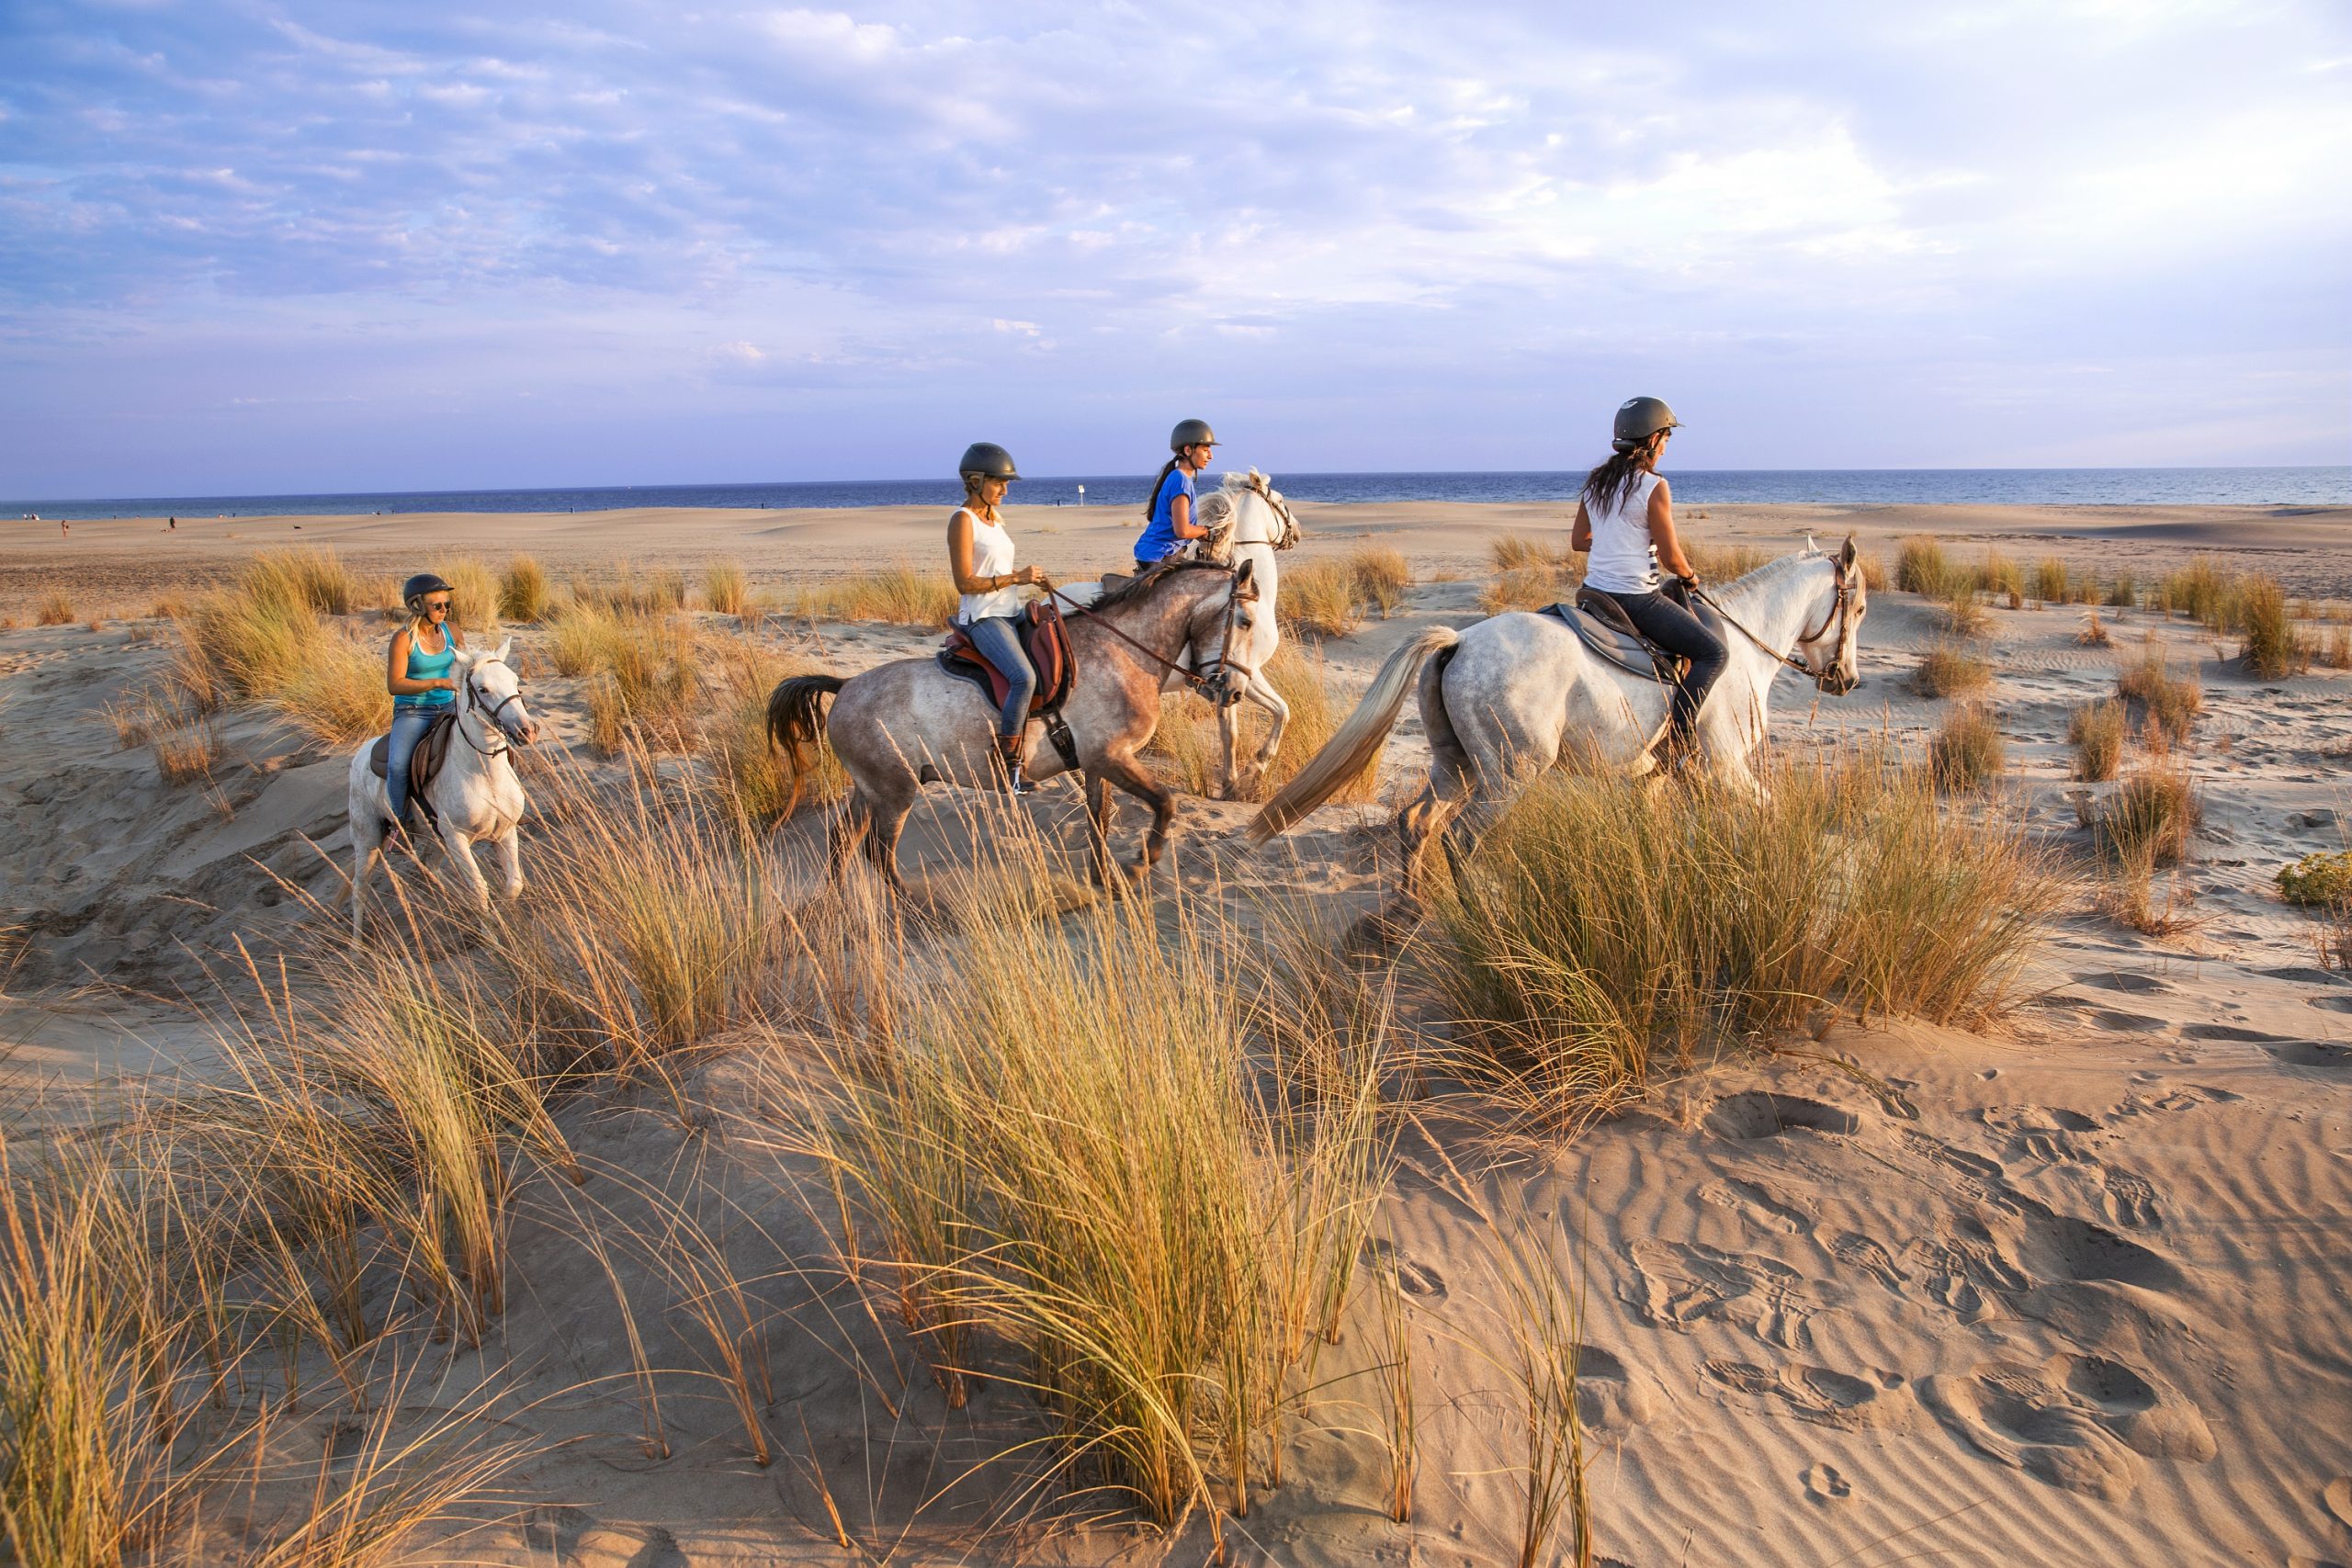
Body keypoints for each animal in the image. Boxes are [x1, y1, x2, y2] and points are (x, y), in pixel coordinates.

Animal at [347, 644, 540, 940]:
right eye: (483, 689)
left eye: (515, 680)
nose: (527, 730)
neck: (484, 772)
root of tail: (360, 754)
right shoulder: (457, 839)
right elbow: (479, 887)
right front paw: (490, 934)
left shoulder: (505, 832)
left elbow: (514, 884)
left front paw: (496, 917)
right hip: (367, 839)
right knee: (360, 889)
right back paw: (357, 946)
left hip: (433, 837)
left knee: (430, 866)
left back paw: (458, 904)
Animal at [1241, 545, 1862, 902]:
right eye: (1855, 608)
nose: (1847, 680)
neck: (1742, 643)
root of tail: (1460, 642)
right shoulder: (1728, 769)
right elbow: (1771, 817)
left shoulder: (1656, 780)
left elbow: (1661, 838)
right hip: (1511, 774)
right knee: (1461, 840)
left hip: (1457, 765)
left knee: (1416, 823)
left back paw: (1406, 912)